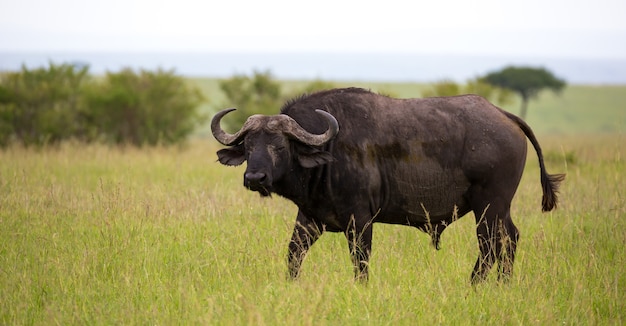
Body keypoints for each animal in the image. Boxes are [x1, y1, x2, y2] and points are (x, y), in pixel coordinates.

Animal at [212, 87, 564, 282]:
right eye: (248, 146)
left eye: (280, 146)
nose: (254, 178)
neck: (331, 149)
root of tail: (505, 116)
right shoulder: (310, 218)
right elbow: (293, 255)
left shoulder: (360, 221)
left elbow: (361, 262)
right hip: (497, 209)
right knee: (508, 240)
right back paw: (500, 285)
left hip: (489, 206)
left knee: (493, 244)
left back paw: (477, 285)